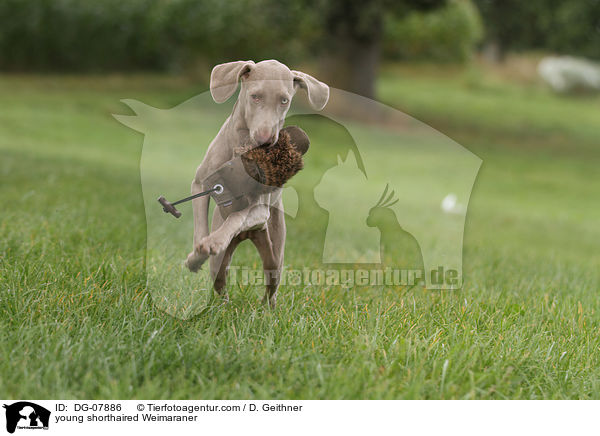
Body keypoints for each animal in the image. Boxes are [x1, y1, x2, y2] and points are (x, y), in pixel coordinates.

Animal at [185, 60, 330, 306]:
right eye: (255, 96)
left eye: (284, 100)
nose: (266, 140)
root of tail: (247, 236)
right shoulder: (200, 182)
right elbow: (200, 224)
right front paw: (197, 255)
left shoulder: (261, 209)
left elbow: (238, 215)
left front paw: (215, 241)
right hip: (220, 264)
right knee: (219, 278)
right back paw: (222, 304)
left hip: (275, 251)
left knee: (272, 285)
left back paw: (266, 309)